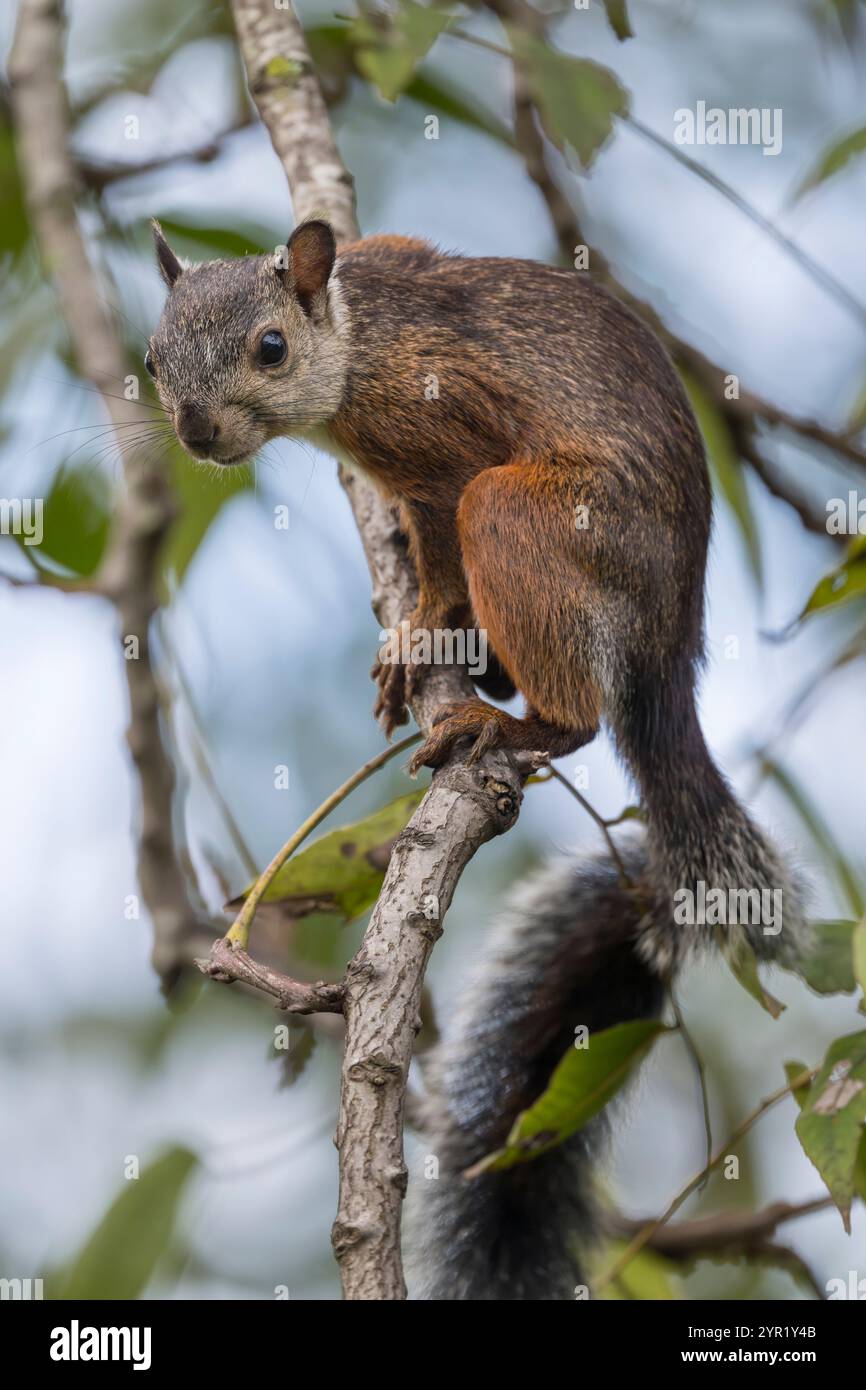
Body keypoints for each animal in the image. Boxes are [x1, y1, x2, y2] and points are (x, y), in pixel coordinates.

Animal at [147, 214, 806, 1289]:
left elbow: (444, 547)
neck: (359, 338)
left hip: (538, 519)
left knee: (573, 698)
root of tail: (672, 647)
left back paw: (508, 721)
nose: (196, 432)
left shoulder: (439, 439)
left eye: (271, 348)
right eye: (152, 360)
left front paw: (424, 629)